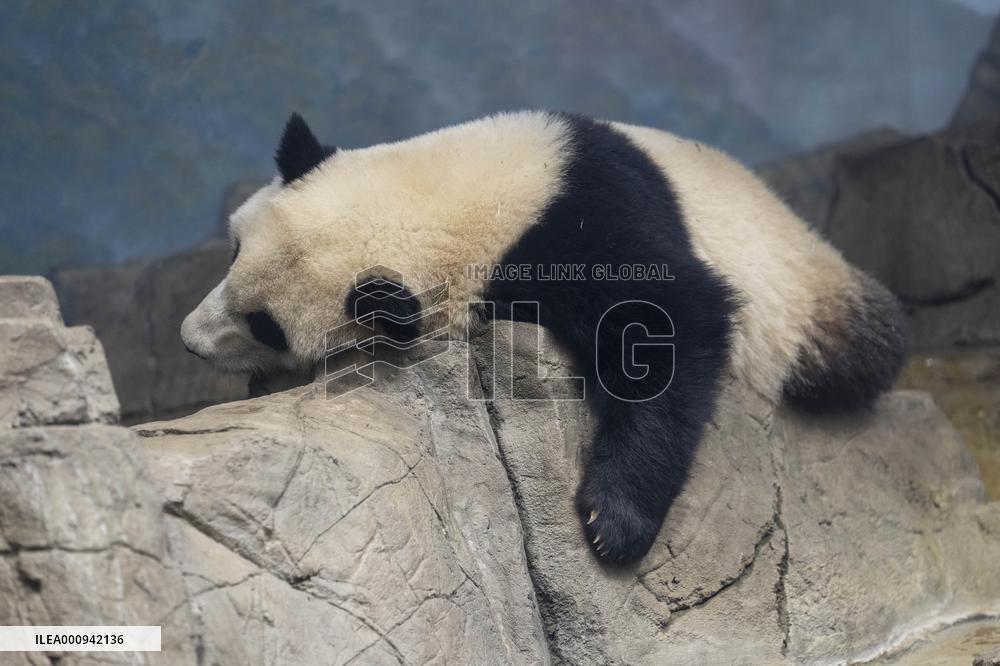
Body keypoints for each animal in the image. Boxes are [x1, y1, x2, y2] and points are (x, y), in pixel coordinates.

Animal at [182, 111, 906, 565]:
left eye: (266, 325)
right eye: (234, 252)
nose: (190, 341)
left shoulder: (587, 224)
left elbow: (674, 323)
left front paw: (613, 522)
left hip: (803, 292)